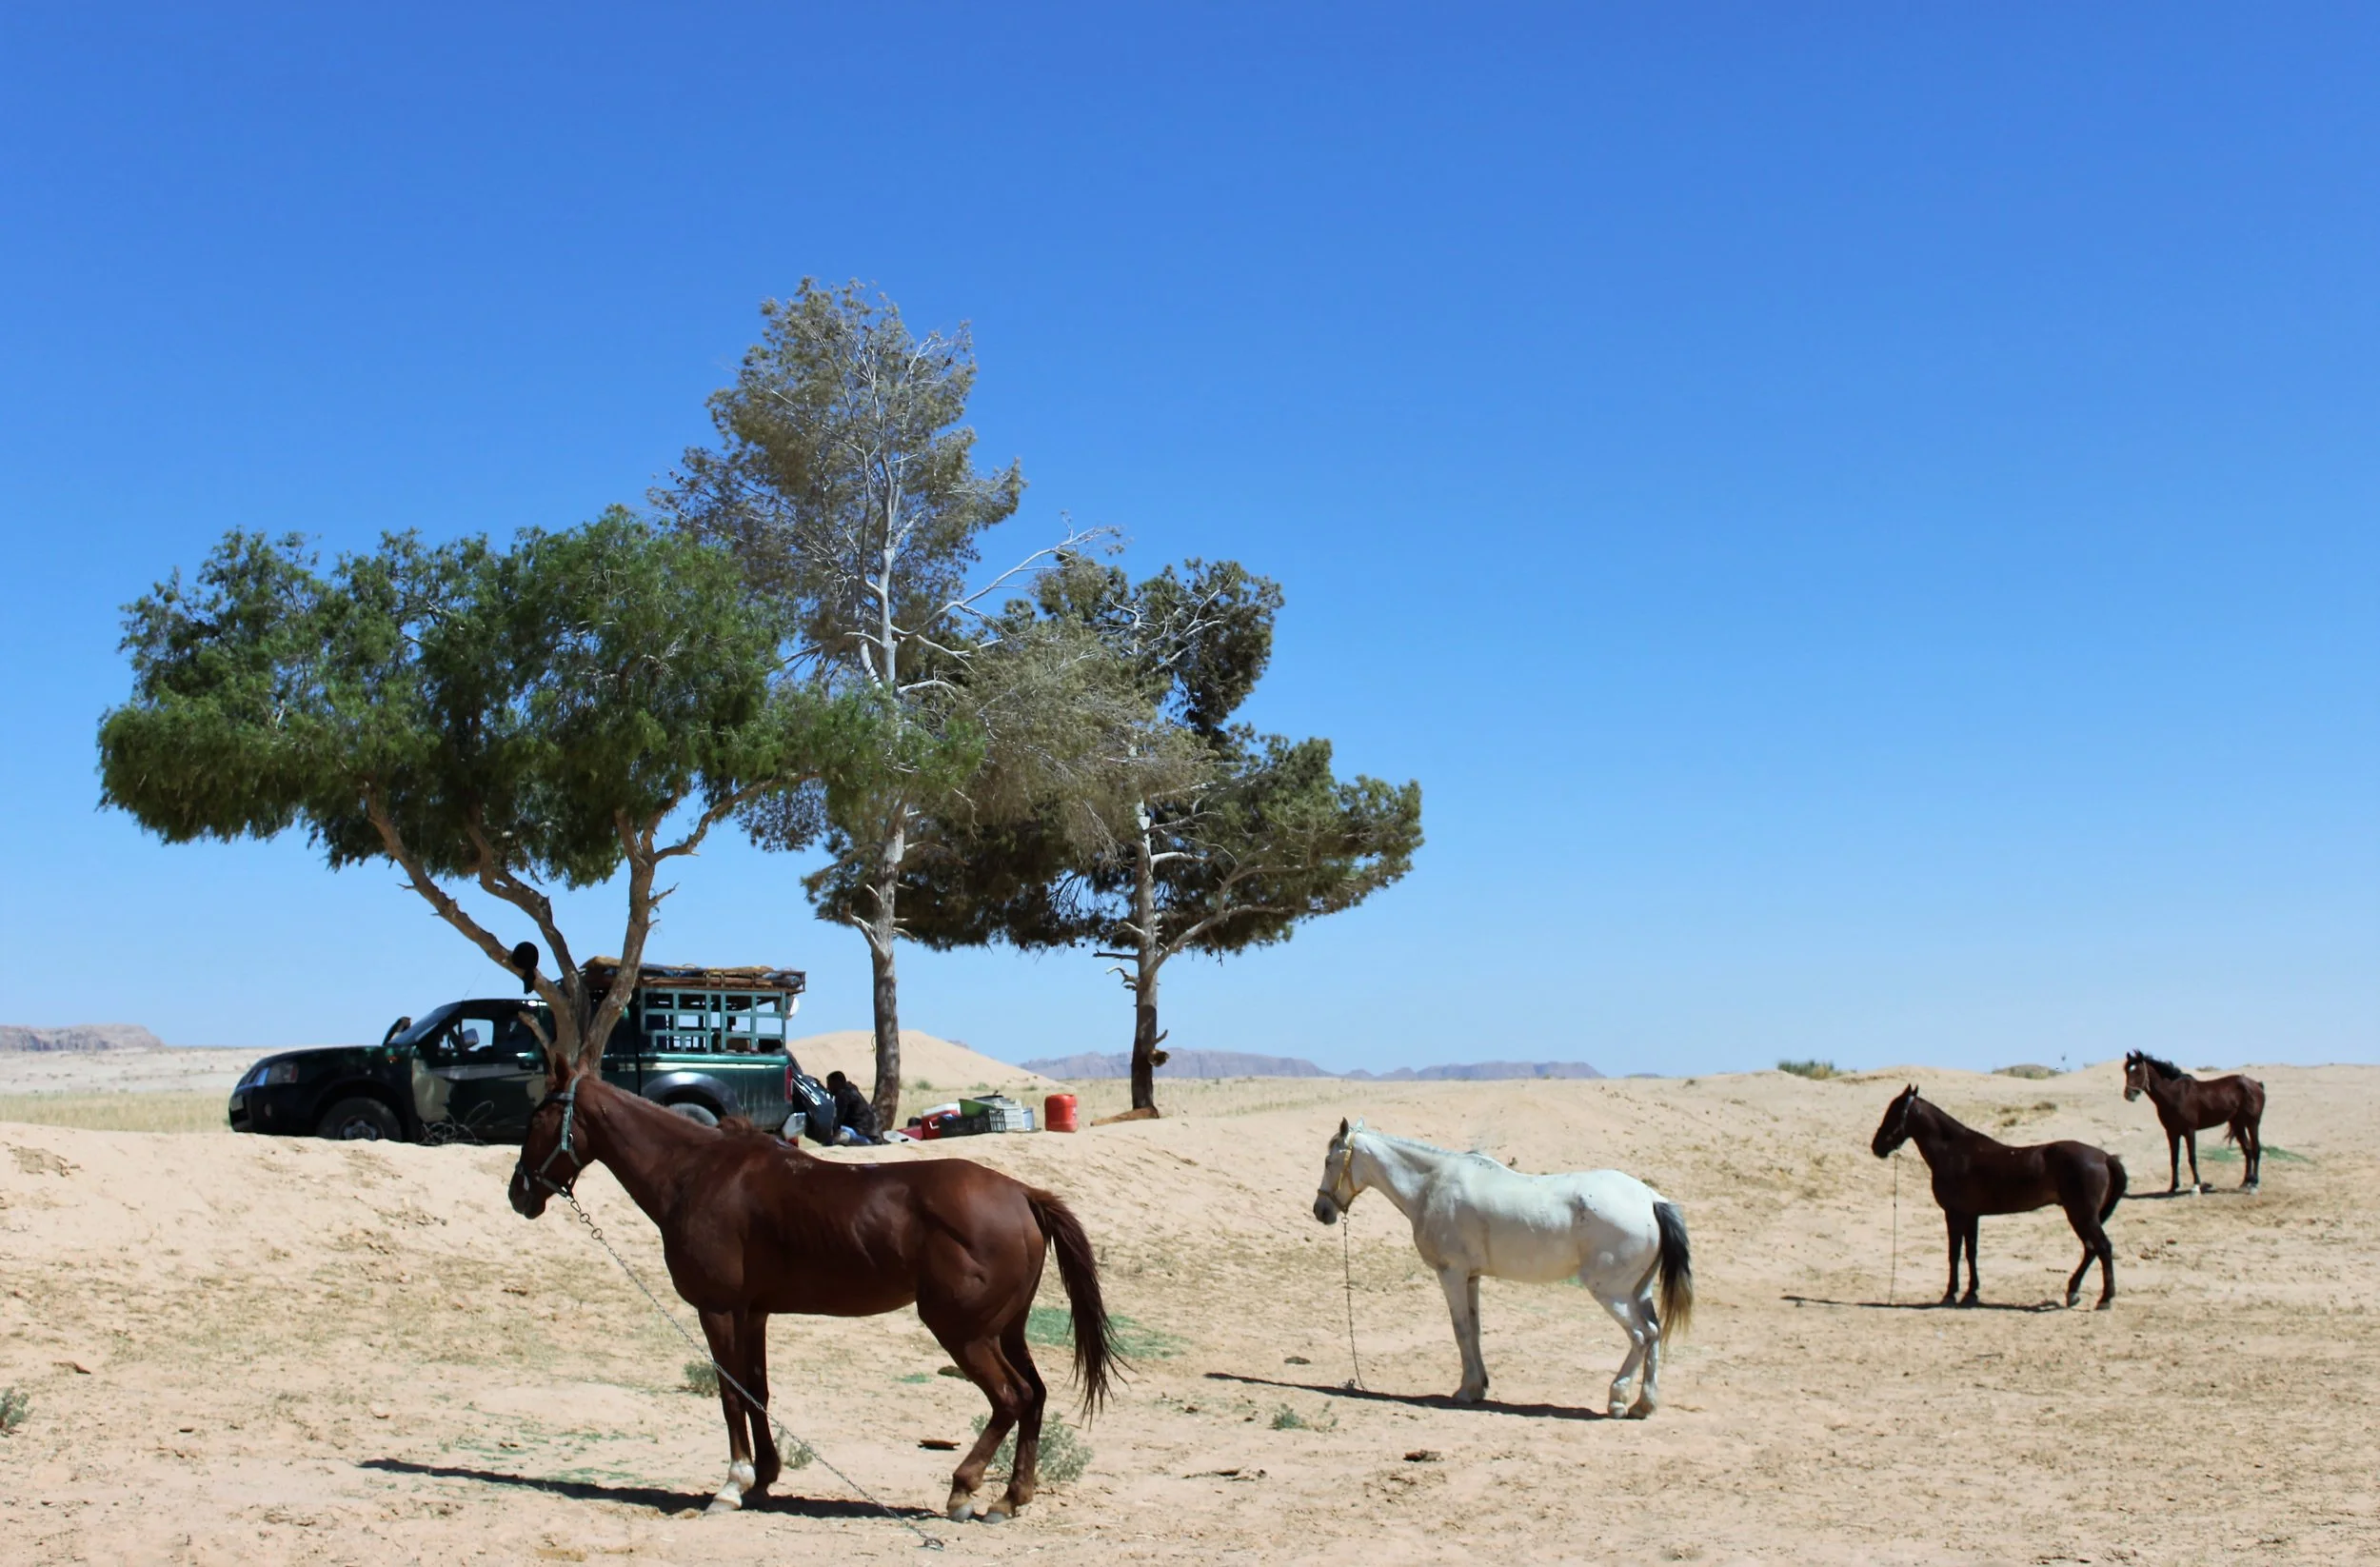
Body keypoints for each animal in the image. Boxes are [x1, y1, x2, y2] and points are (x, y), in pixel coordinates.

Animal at [509, 1068, 1116, 1522]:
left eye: (536, 1118)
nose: (518, 1193)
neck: (697, 1173)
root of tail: (1023, 1194)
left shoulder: (718, 1310)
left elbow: (729, 1394)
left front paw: (731, 1485)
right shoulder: (753, 1312)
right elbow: (756, 1391)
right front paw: (763, 1479)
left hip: (964, 1333)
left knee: (1011, 1397)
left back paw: (963, 1490)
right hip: (1005, 1330)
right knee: (1035, 1397)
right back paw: (1011, 1498)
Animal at [1310, 1118, 1692, 1418]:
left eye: (1329, 1160)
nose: (1321, 1211)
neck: (1432, 1184)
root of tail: (1652, 1200)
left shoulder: (1451, 1274)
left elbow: (1461, 1330)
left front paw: (1465, 1390)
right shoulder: (1472, 1277)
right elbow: (1475, 1330)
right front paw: (1479, 1385)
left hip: (1612, 1292)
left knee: (1642, 1335)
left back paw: (1617, 1400)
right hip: (1639, 1291)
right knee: (1655, 1333)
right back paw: (1644, 1405)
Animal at [1869, 1085, 2126, 1309]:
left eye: (1894, 1112)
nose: (1876, 1146)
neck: (1953, 1151)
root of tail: (2105, 1157)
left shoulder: (1954, 1214)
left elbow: (1954, 1254)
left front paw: (1950, 1295)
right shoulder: (1971, 1216)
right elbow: (1971, 1253)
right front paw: (1971, 1294)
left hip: (2082, 1215)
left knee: (2102, 1247)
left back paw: (2105, 1299)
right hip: (2082, 1216)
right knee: (2091, 1249)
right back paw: (2073, 1292)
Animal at [2122, 1052, 2266, 1193]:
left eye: (2138, 1072)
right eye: (2127, 1071)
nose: (2128, 1095)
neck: (2175, 1094)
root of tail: (2257, 1084)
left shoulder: (2189, 1131)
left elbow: (2192, 1158)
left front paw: (2196, 1186)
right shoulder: (2172, 1133)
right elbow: (2174, 1159)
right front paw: (2173, 1186)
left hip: (2252, 1123)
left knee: (2256, 1149)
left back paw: (2254, 1184)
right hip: (2238, 1124)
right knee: (2247, 1150)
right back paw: (2245, 1183)